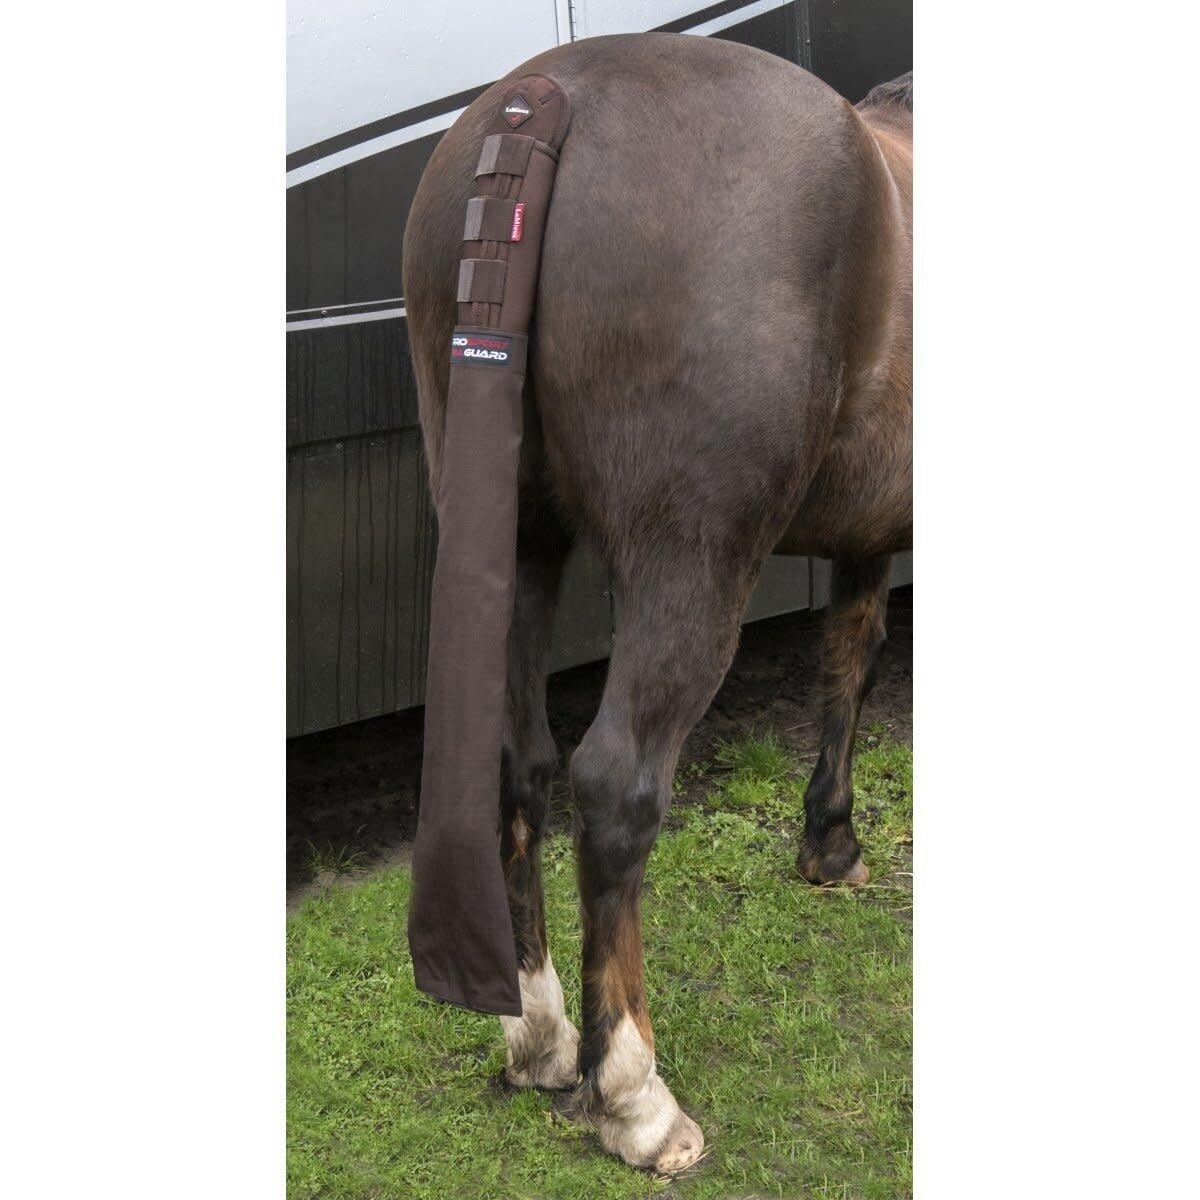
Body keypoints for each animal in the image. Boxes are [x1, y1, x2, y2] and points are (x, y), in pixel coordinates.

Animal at [403, 32, 911, 1174]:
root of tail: (549, 100)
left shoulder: (865, 536)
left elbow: (849, 659)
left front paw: (830, 843)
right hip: (692, 561)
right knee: (616, 785)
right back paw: (632, 1095)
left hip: (518, 539)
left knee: (518, 766)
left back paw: (542, 1039)